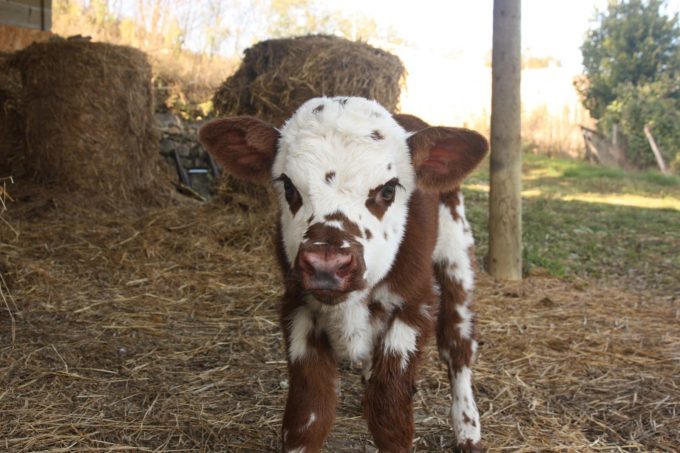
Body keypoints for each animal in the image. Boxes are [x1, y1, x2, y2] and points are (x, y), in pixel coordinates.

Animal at [199, 96, 488, 453]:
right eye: (289, 187)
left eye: (388, 190)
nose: (327, 265)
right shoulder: (297, 307)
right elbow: (307, 415)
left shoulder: (414, 305)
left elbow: (389, 413)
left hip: (456, 247)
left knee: (457, 341)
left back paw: (467, 427)